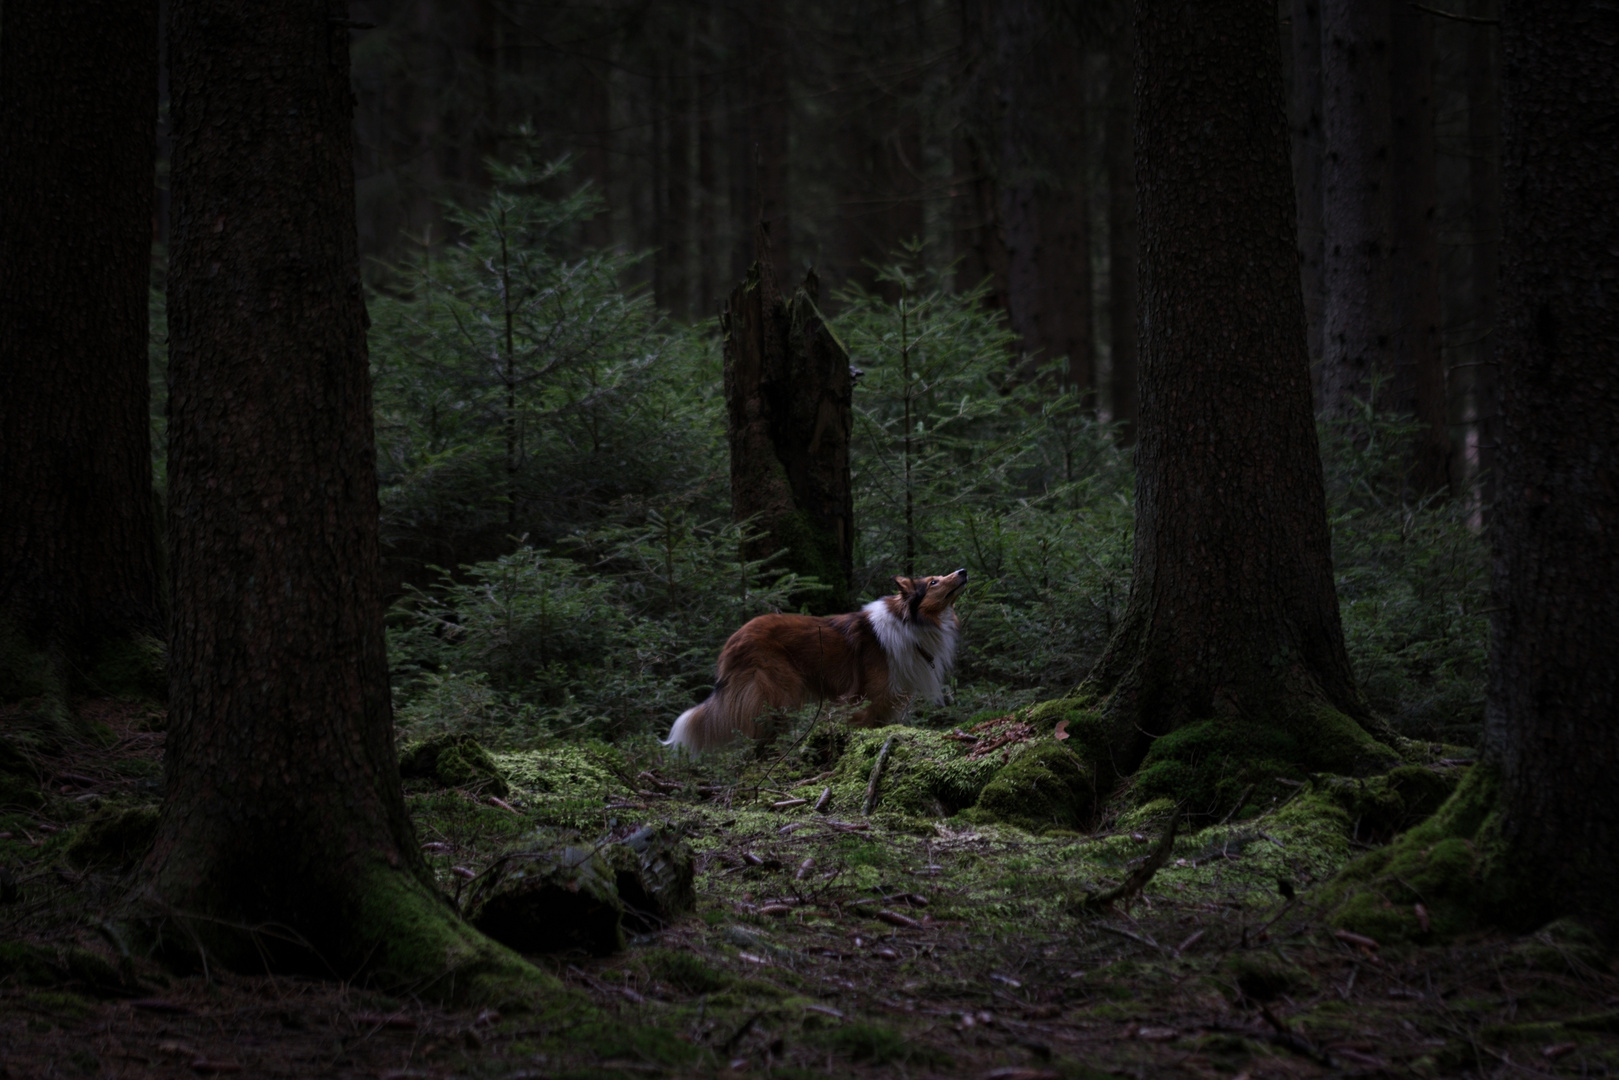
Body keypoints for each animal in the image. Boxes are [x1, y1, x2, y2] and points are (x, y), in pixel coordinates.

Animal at [663, 566, 964, 751]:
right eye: (933, 582)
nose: (963, 571)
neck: (908, 622)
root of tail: (732, 641)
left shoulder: (888, 702)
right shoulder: (863, 700)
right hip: (780, 691)